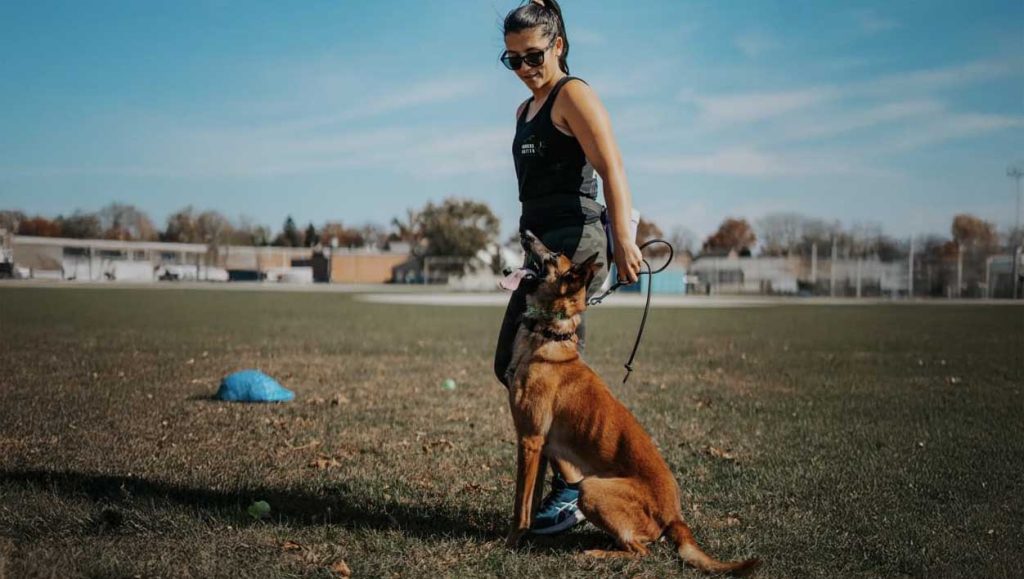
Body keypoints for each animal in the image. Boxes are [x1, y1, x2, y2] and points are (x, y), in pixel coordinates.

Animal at [504, 230, 759, 574]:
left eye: (554, 255)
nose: (526, 233)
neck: (549, 336)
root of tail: (675, 517)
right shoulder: (540, 446)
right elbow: (529, 504)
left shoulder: (529, 441)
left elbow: (520, 505)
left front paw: (510, 542)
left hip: (591, 488)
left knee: (641, 550)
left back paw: (597, 554)